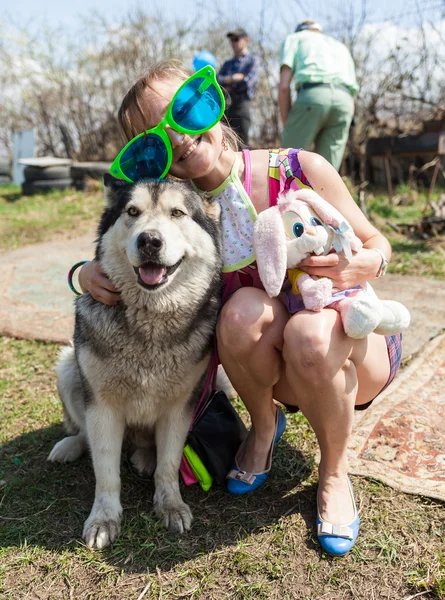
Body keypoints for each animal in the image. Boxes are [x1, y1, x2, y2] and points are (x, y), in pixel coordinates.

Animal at [47, 175, 221, 548]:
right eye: (132, 212)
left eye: (177, 213)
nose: (150, 240)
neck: (150, 322)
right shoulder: (102, 407)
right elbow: (106, 470)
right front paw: (104, 519)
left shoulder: (180, 406)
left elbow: (169, 465)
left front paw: (170, 505)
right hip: (68, 365)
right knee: (83, 431)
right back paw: (71, 445)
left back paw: (145, 457)